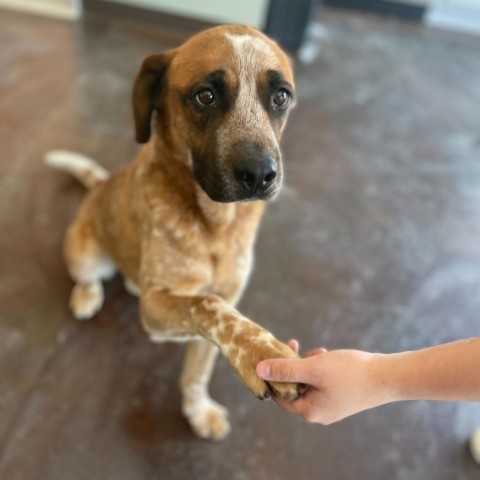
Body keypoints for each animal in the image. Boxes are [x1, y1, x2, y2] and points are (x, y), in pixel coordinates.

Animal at [44, 24, 300, 440]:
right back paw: (87, 294)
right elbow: (208, 305)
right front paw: (265, 350)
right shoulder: (159, 307)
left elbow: (198, 369)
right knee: (88, 276)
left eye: (280, 96)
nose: (261, 175)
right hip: (85, 255)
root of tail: (99, 186)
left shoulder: (223, 301)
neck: (215, 225)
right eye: (205, 95)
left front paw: (197, 411)